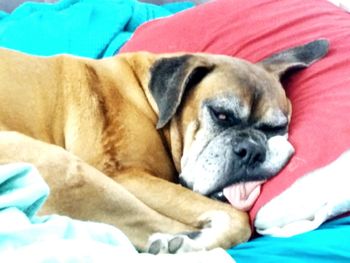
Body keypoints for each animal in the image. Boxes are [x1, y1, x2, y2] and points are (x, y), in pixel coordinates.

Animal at [0, 39, 328, 254]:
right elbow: (238, 219)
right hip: (68, 170)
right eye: (220, 114)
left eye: (276, 128)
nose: (252, 149)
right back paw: (186, 245)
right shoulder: (125, 175)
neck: (152, 101)